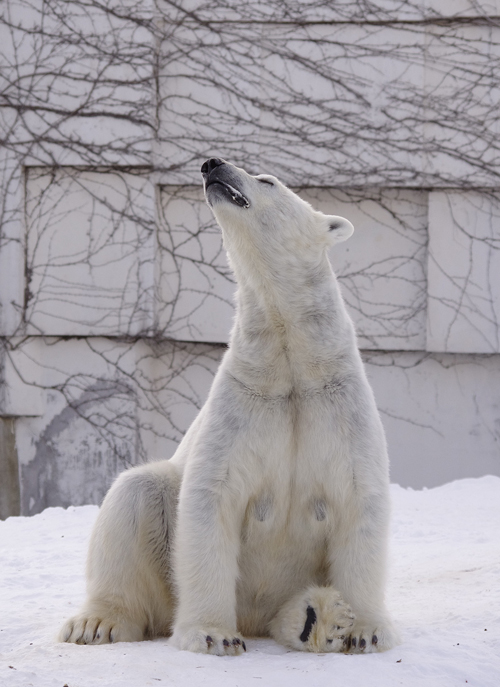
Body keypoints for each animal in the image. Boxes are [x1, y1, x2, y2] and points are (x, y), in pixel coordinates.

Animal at [60, 157, 398, 656]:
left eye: (268, 180)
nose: (212, 164)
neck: (291, 359)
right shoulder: (243, 404)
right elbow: (211, 498)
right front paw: (212, 634)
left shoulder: (338, 406)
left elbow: (359, 500)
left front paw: (366, 630)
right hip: (161, 557)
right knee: (135, 494)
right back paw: (97, 623)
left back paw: (318, 618)